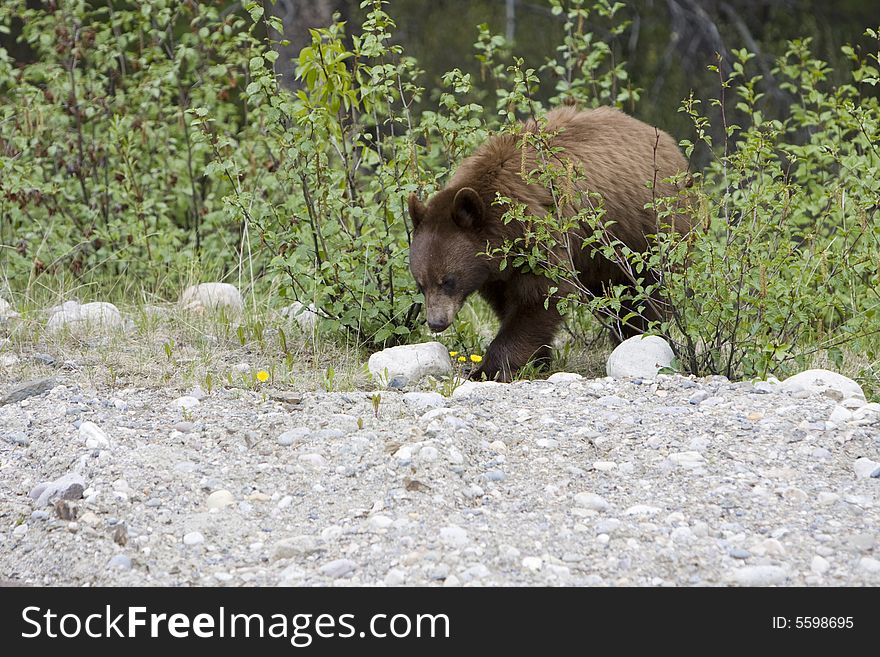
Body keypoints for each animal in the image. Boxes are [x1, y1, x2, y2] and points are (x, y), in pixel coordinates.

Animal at [410, 105, 692, 382]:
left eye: (448, 280)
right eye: (420, 283)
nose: (436, 323)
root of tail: (667, 141)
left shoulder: (539, 235)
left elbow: (541, 296)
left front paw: (492, 367)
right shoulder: (497, 269)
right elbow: (506, 301)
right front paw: (536, 359)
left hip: (645, 231)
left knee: (645, 292)